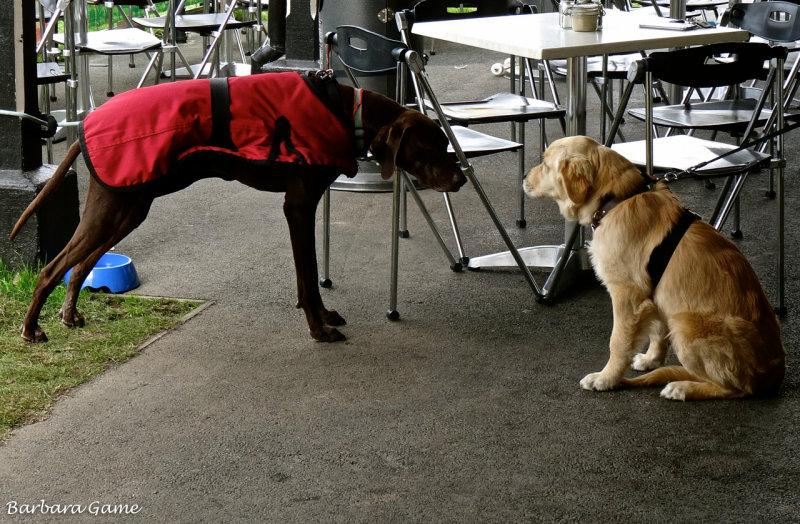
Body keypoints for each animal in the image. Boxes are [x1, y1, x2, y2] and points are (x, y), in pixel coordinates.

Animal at [9, 73, 466, 344]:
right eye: (431, 146)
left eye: (445, 143)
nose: (461, 180)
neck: (346, 111)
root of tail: (83, 128)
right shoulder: (298, 207)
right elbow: (308, 279)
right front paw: (317, 328)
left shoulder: (305, 207)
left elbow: (311, 277)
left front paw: (323, 318)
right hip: (115, 207)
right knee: (52, 268)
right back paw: (31, 329)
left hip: (126, 209)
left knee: (79, 267)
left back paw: (69, 315)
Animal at [520, 136, 784, 402]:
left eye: (545, 164)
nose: (522, 176)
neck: (616, 200)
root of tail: (774, 372)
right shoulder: (653, 293)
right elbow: (657, 331)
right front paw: (651, 360)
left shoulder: (627, 294)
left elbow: (618, 342)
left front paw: (606, 379)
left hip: (686, 325)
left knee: (734, 388)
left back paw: (683, 387)